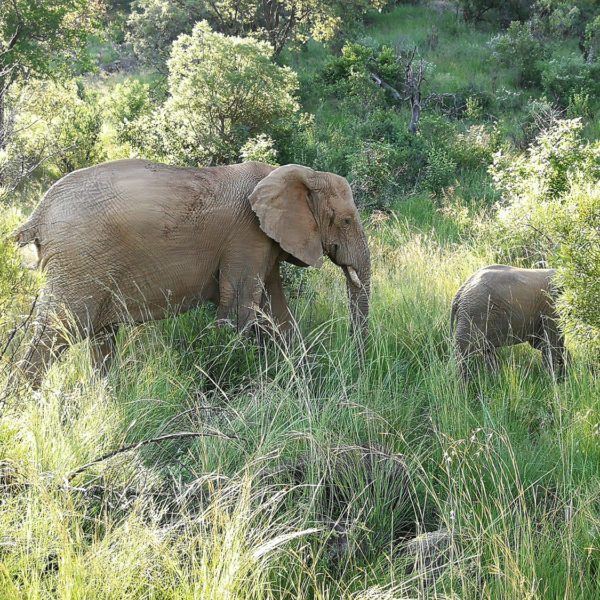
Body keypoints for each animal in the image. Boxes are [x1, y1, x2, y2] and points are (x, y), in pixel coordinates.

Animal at [12, 159, 370, 384]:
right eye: (346, 220)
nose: (360, 363)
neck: (287, 173)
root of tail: (39, 214)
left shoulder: (264, 243)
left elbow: (277, 314)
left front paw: (303, 374)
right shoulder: (248, 236)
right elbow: (238, 309)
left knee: (101, 336)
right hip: (78, 263)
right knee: (55, 333)